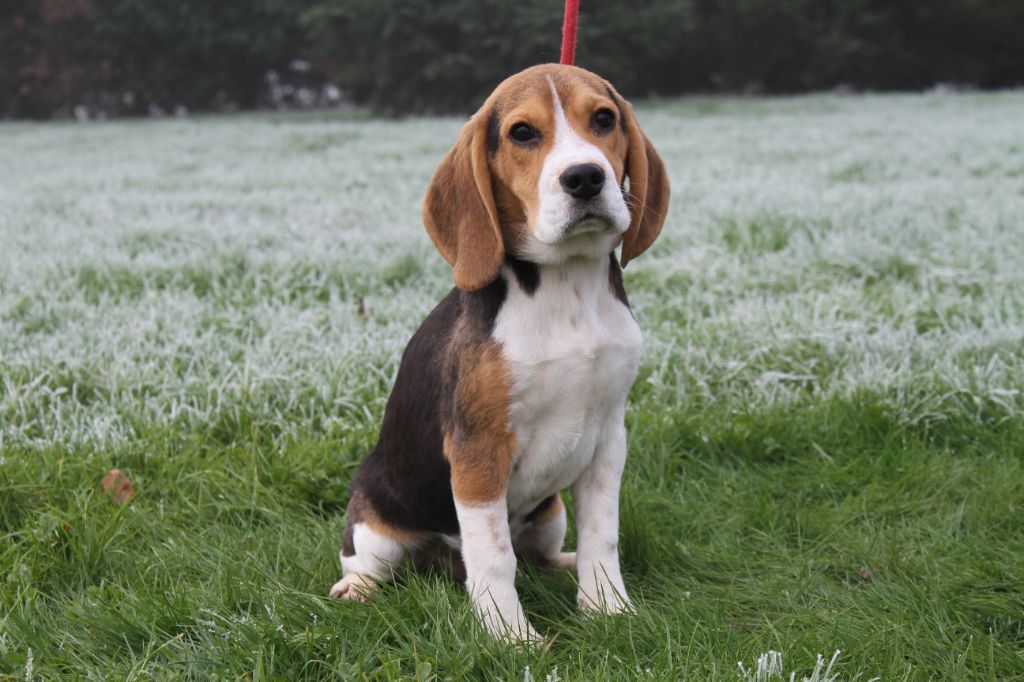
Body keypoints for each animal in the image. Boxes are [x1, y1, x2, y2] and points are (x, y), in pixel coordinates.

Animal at [327, 61, 671, 638]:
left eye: (604, 119)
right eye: (523, 133)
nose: (585, 177)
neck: (565, 284)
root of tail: (441, 565)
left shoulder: (608, 439)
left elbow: (603, 535)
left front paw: (607, 607)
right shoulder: (479, 451)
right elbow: (493, 556)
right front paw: (509, 636)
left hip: (550, 512)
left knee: (537, 554)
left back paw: (564, 565)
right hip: (376, 526)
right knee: (372, 562)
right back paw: (357, 589)